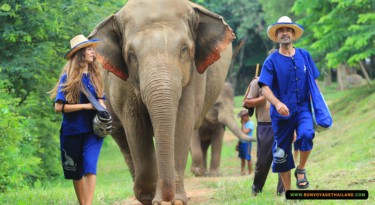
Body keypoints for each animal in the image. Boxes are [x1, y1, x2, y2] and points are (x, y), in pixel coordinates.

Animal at [88, 0, 236, 204]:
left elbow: (182, 121)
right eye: (131, 54)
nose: (167, 198)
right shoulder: (122, 82)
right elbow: (135, 125)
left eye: (184, 49)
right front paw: (150, 196)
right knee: (122, 138)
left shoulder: (196, 74)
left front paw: (176, 200)